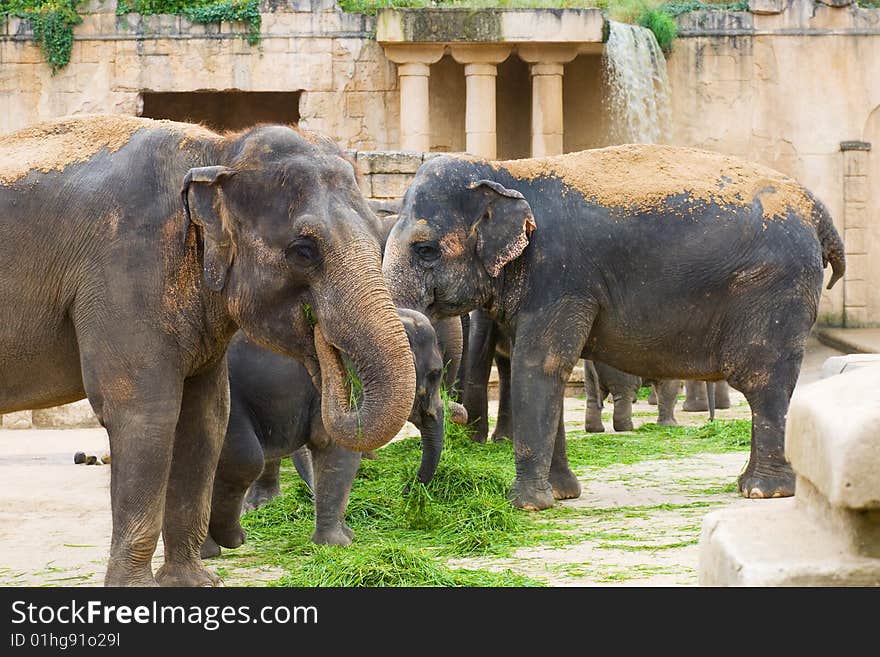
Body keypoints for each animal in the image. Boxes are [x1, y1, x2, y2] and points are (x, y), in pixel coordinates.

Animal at [0, 115, 416, 588]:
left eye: (377, 235)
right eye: (303, 251)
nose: (322, 342)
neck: (217, 151)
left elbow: (205, 417)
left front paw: (194, 583)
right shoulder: (124, 272)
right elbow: (146, 413)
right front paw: (139, 589)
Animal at [204, 310, 468, 556]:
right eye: (435, 374)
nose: (405, 491)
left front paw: (346, 536)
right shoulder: (346, 382)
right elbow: (339, 447)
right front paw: (339, 544)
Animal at [384, 146, 844, 510]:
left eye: (426, 250)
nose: (413, 492)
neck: (506, 170)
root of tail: (817, 210)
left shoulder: (560, 276)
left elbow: (541, 365)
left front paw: (528, 506)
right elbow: (543, 369)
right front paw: (563, 495)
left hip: (774, 288)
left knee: (764, 381)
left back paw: (764, 491)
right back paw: (747, 485)